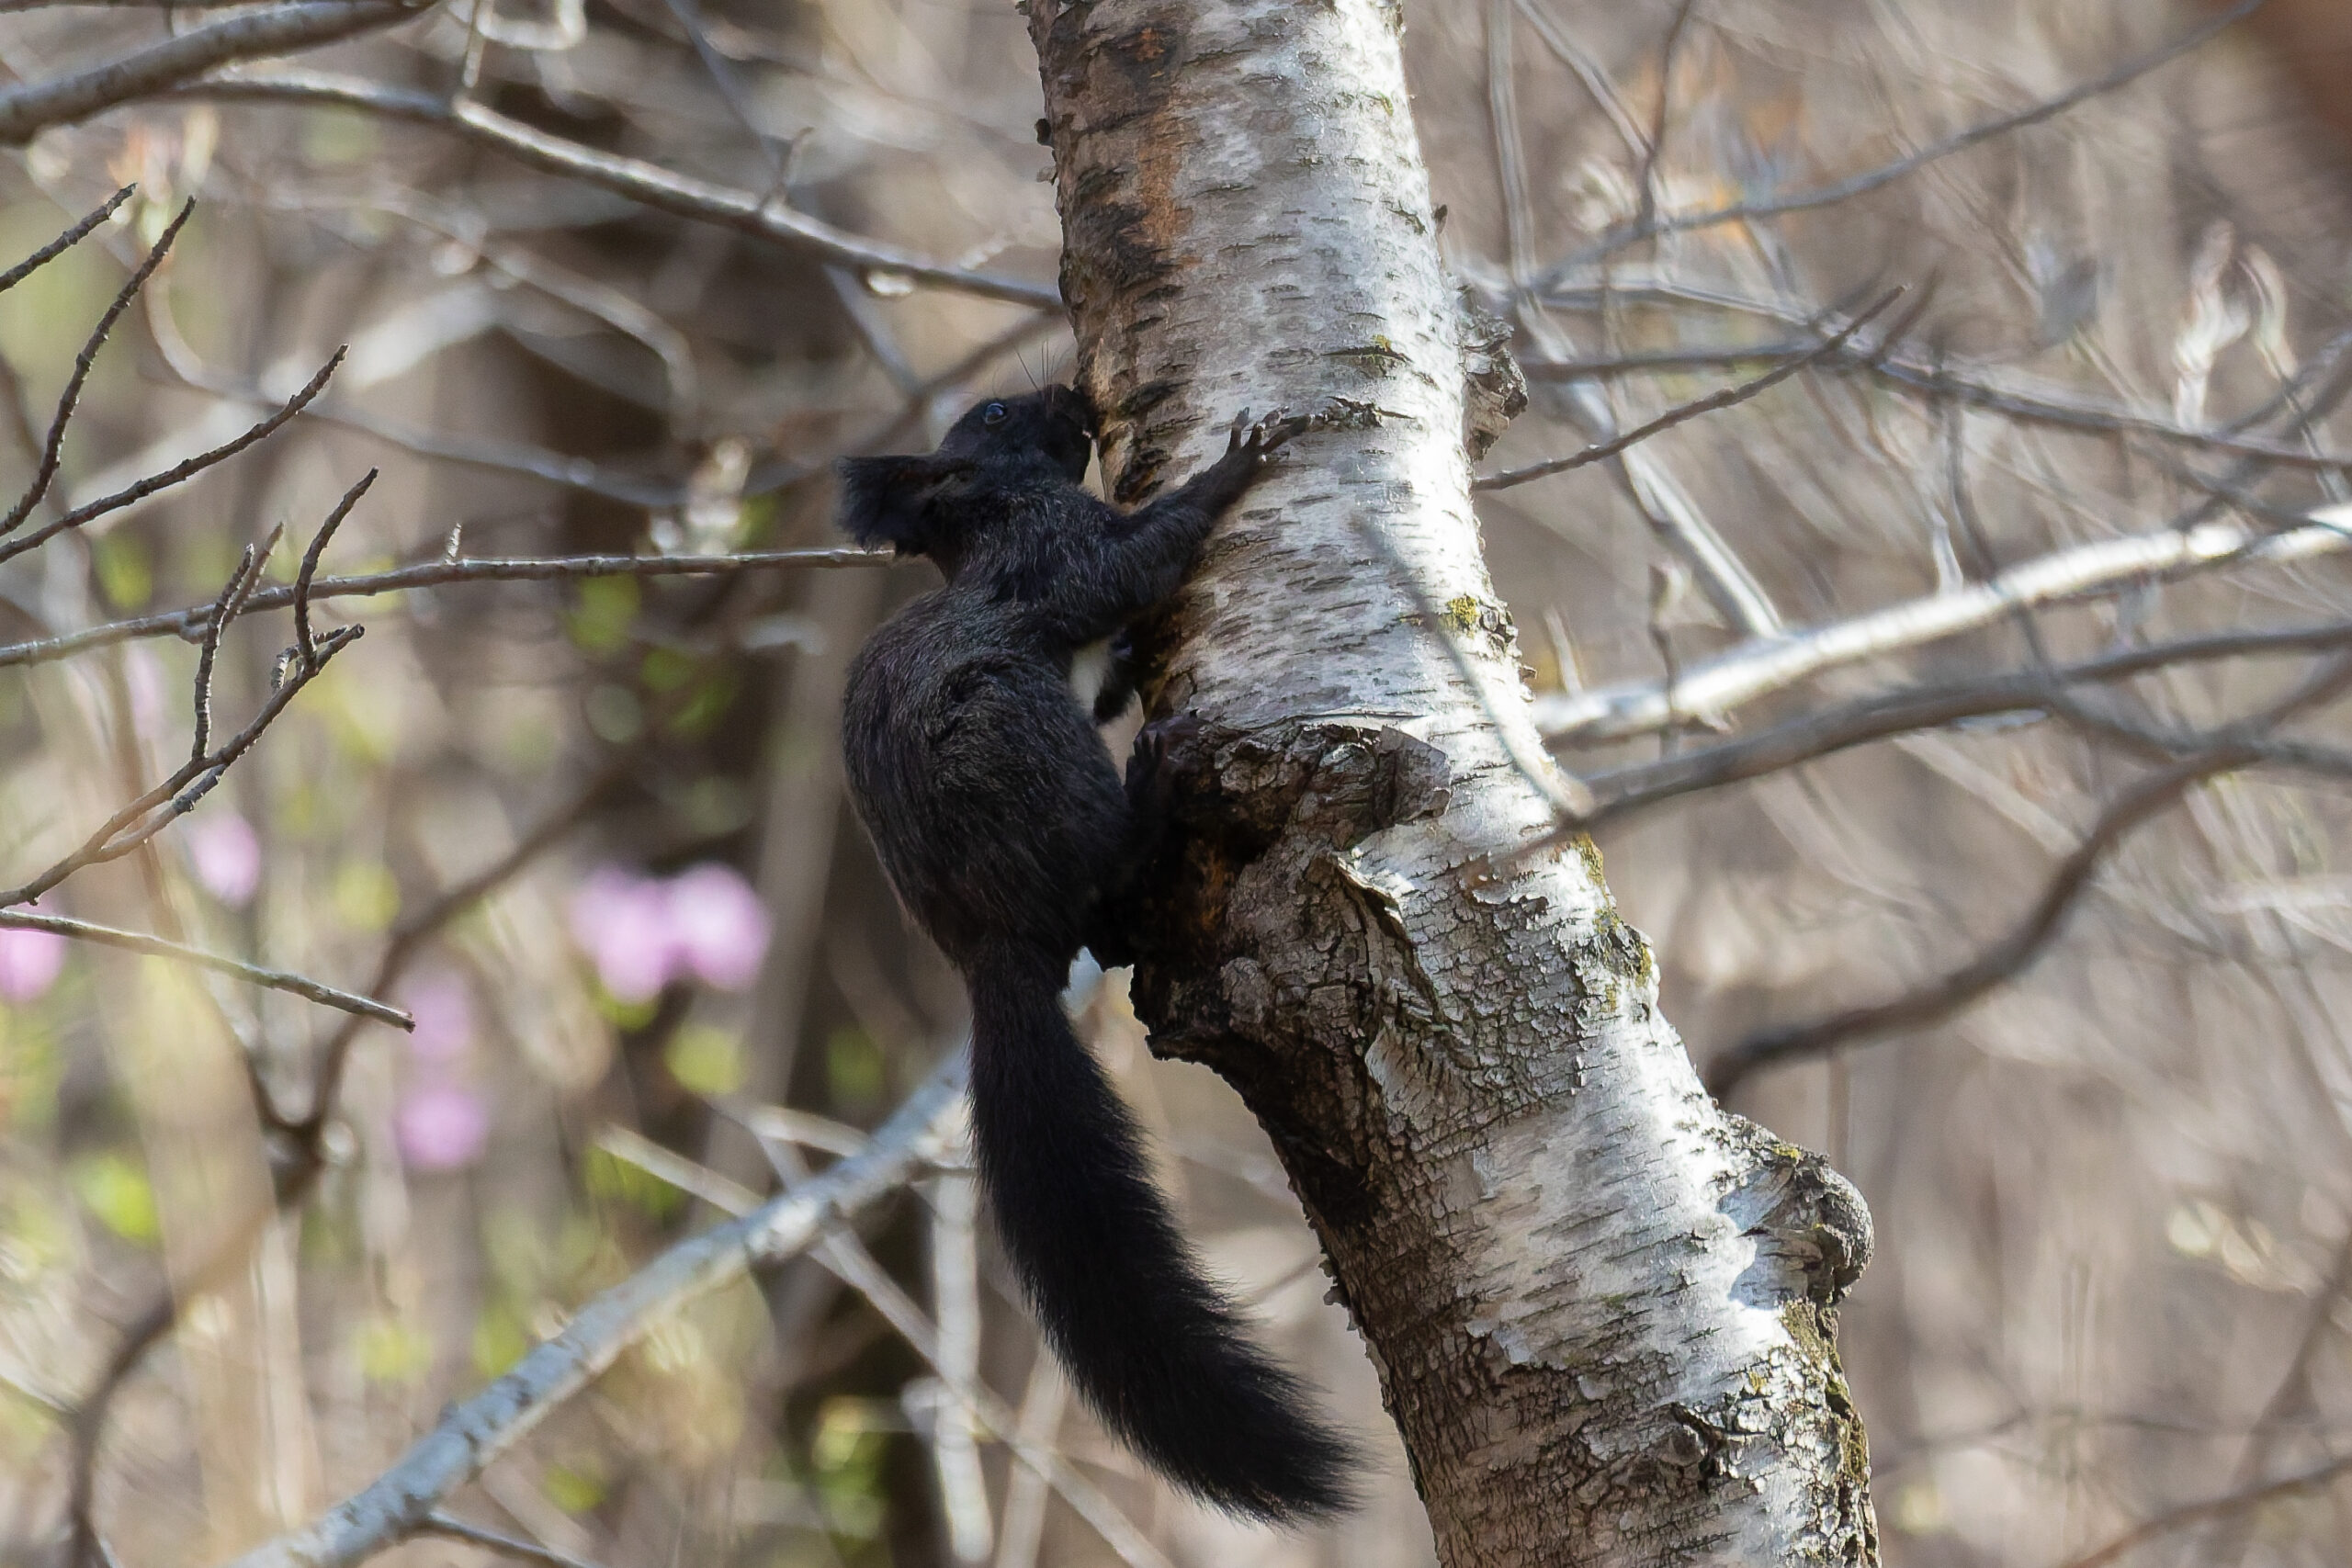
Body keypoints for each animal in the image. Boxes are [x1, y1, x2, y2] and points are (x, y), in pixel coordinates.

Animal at [835, 386, 1356, 1524]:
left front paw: (1124, 662)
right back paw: (1154, 792)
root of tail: (996, 950)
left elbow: (1114, 656)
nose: (1071, 396)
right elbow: (1124, 569)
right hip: (1020, 736)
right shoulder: (1053, 547)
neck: (977, 527)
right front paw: (1231, 470)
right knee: (1107, 859)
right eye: (996, 414)